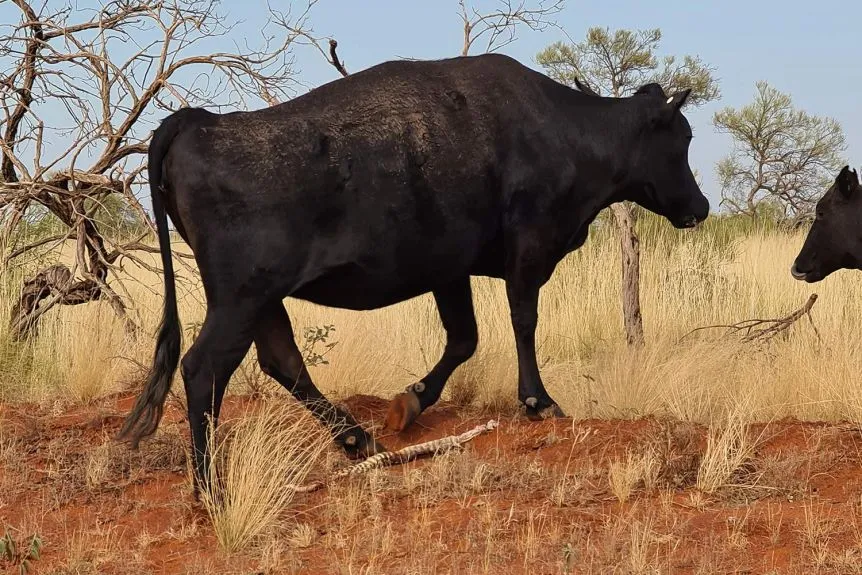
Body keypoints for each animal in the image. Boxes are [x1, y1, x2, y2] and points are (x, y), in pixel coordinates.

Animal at [118, 54, 712, 496]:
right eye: (680, 140)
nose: (700, 206)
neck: (564, 131)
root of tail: (200, 121)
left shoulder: (450, 269)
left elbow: (464, 339)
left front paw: (410, 403)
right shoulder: (528, 248)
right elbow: (523, 321)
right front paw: (538, 401)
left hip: (262, 301)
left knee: (283, 363)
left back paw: (357, 441)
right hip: (240, 298)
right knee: (204, 369)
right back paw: (209, 487)